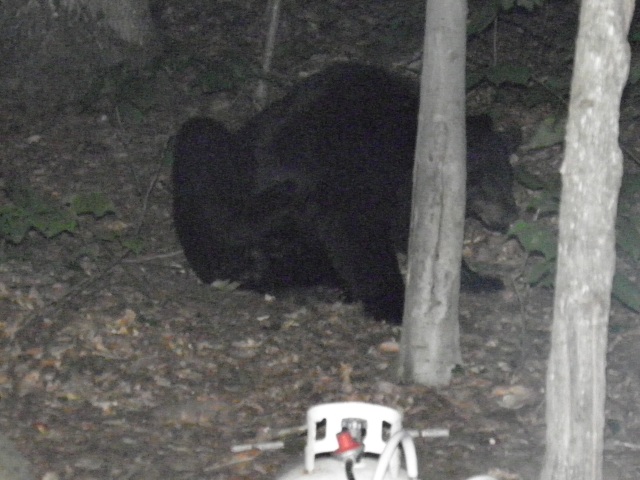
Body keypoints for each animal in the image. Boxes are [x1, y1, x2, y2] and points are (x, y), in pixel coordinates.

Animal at [171, 62, 520, 322]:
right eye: (482, 182)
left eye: (508, 175)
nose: (512, 215)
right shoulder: (347, 173)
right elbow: (356, 235)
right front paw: (393, 303)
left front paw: (477, 279)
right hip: (231, 172)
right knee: (203, 149)